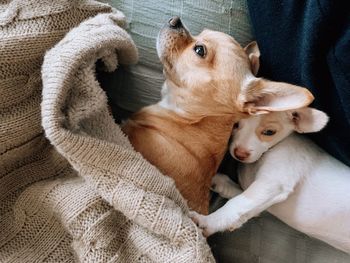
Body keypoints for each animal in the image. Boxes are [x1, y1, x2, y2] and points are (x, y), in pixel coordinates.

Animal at [190, 106, 350, 254]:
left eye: (269, 132)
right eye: (235, 124)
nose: (240, 154)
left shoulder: (273, 183)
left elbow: (237, 203)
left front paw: (207, 222)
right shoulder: (264, 198)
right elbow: (242, 201)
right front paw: (221, 183)